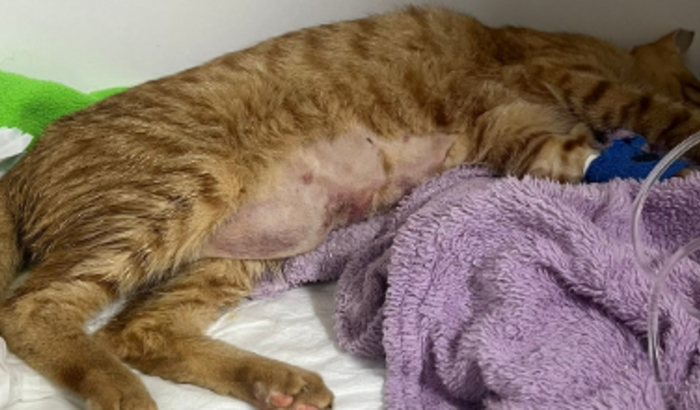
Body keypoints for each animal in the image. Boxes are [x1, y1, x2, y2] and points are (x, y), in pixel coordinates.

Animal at [1, 6, 700, 410]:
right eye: (697, 80)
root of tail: (26, 160)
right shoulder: (564, 78)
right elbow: (656, 114)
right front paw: (678, 145)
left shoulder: (525, 138)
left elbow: (582, 156)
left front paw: (636, 163)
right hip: (174, 194)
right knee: (31, 311)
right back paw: (122, 392)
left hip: (233, 257)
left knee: (138, 331)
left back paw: (278, 383)